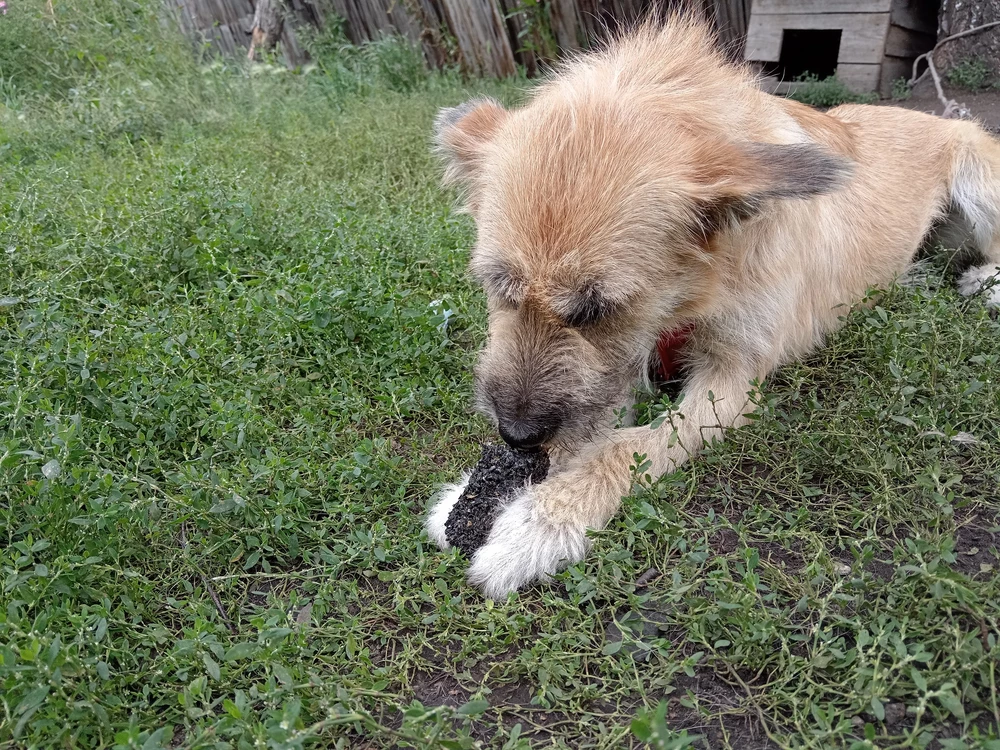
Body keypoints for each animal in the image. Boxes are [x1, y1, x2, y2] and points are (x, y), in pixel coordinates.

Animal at [422, 16, 1000, 600]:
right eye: (500, 289)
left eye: (596, 309)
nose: (514, 434)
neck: (697, 288)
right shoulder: (627, 364)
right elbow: (595, 419)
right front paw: (484, 494)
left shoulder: (731, 379)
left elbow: (628, 445)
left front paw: (543, 518)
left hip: (980, 180)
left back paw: (986, 282)